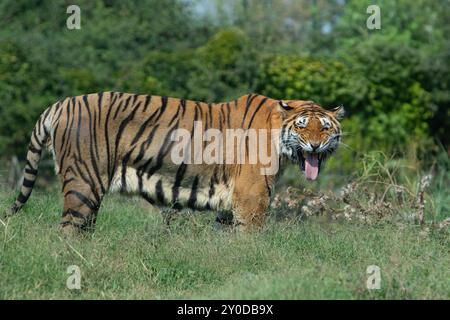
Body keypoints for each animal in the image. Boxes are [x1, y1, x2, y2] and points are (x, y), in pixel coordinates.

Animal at [8, 91, 342, 234]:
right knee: (68, 228)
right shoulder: (252, 197)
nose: (315, 145)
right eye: (302, 126)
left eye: (325, 128)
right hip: (84, 182)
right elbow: (251, 238)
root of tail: (61, 103)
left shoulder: (230, 204)